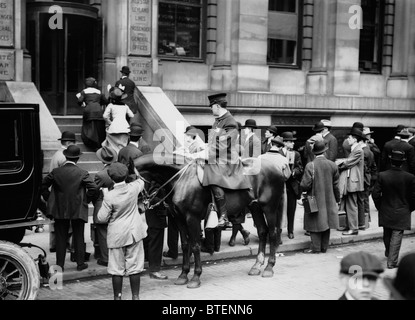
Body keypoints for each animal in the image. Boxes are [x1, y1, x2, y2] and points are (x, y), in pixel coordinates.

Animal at [136, 153, 286, 290]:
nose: (139, 208)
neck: (181, 179)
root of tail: (277, 167)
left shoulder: (192, 218)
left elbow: (195, 245)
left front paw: (196, 277)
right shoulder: (179, 219)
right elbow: (185, 245)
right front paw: (183, 275)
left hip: (269, 207)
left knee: (272, 233)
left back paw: (269, 267)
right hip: (255, 207)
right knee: (262, 231)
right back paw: (256, 265)